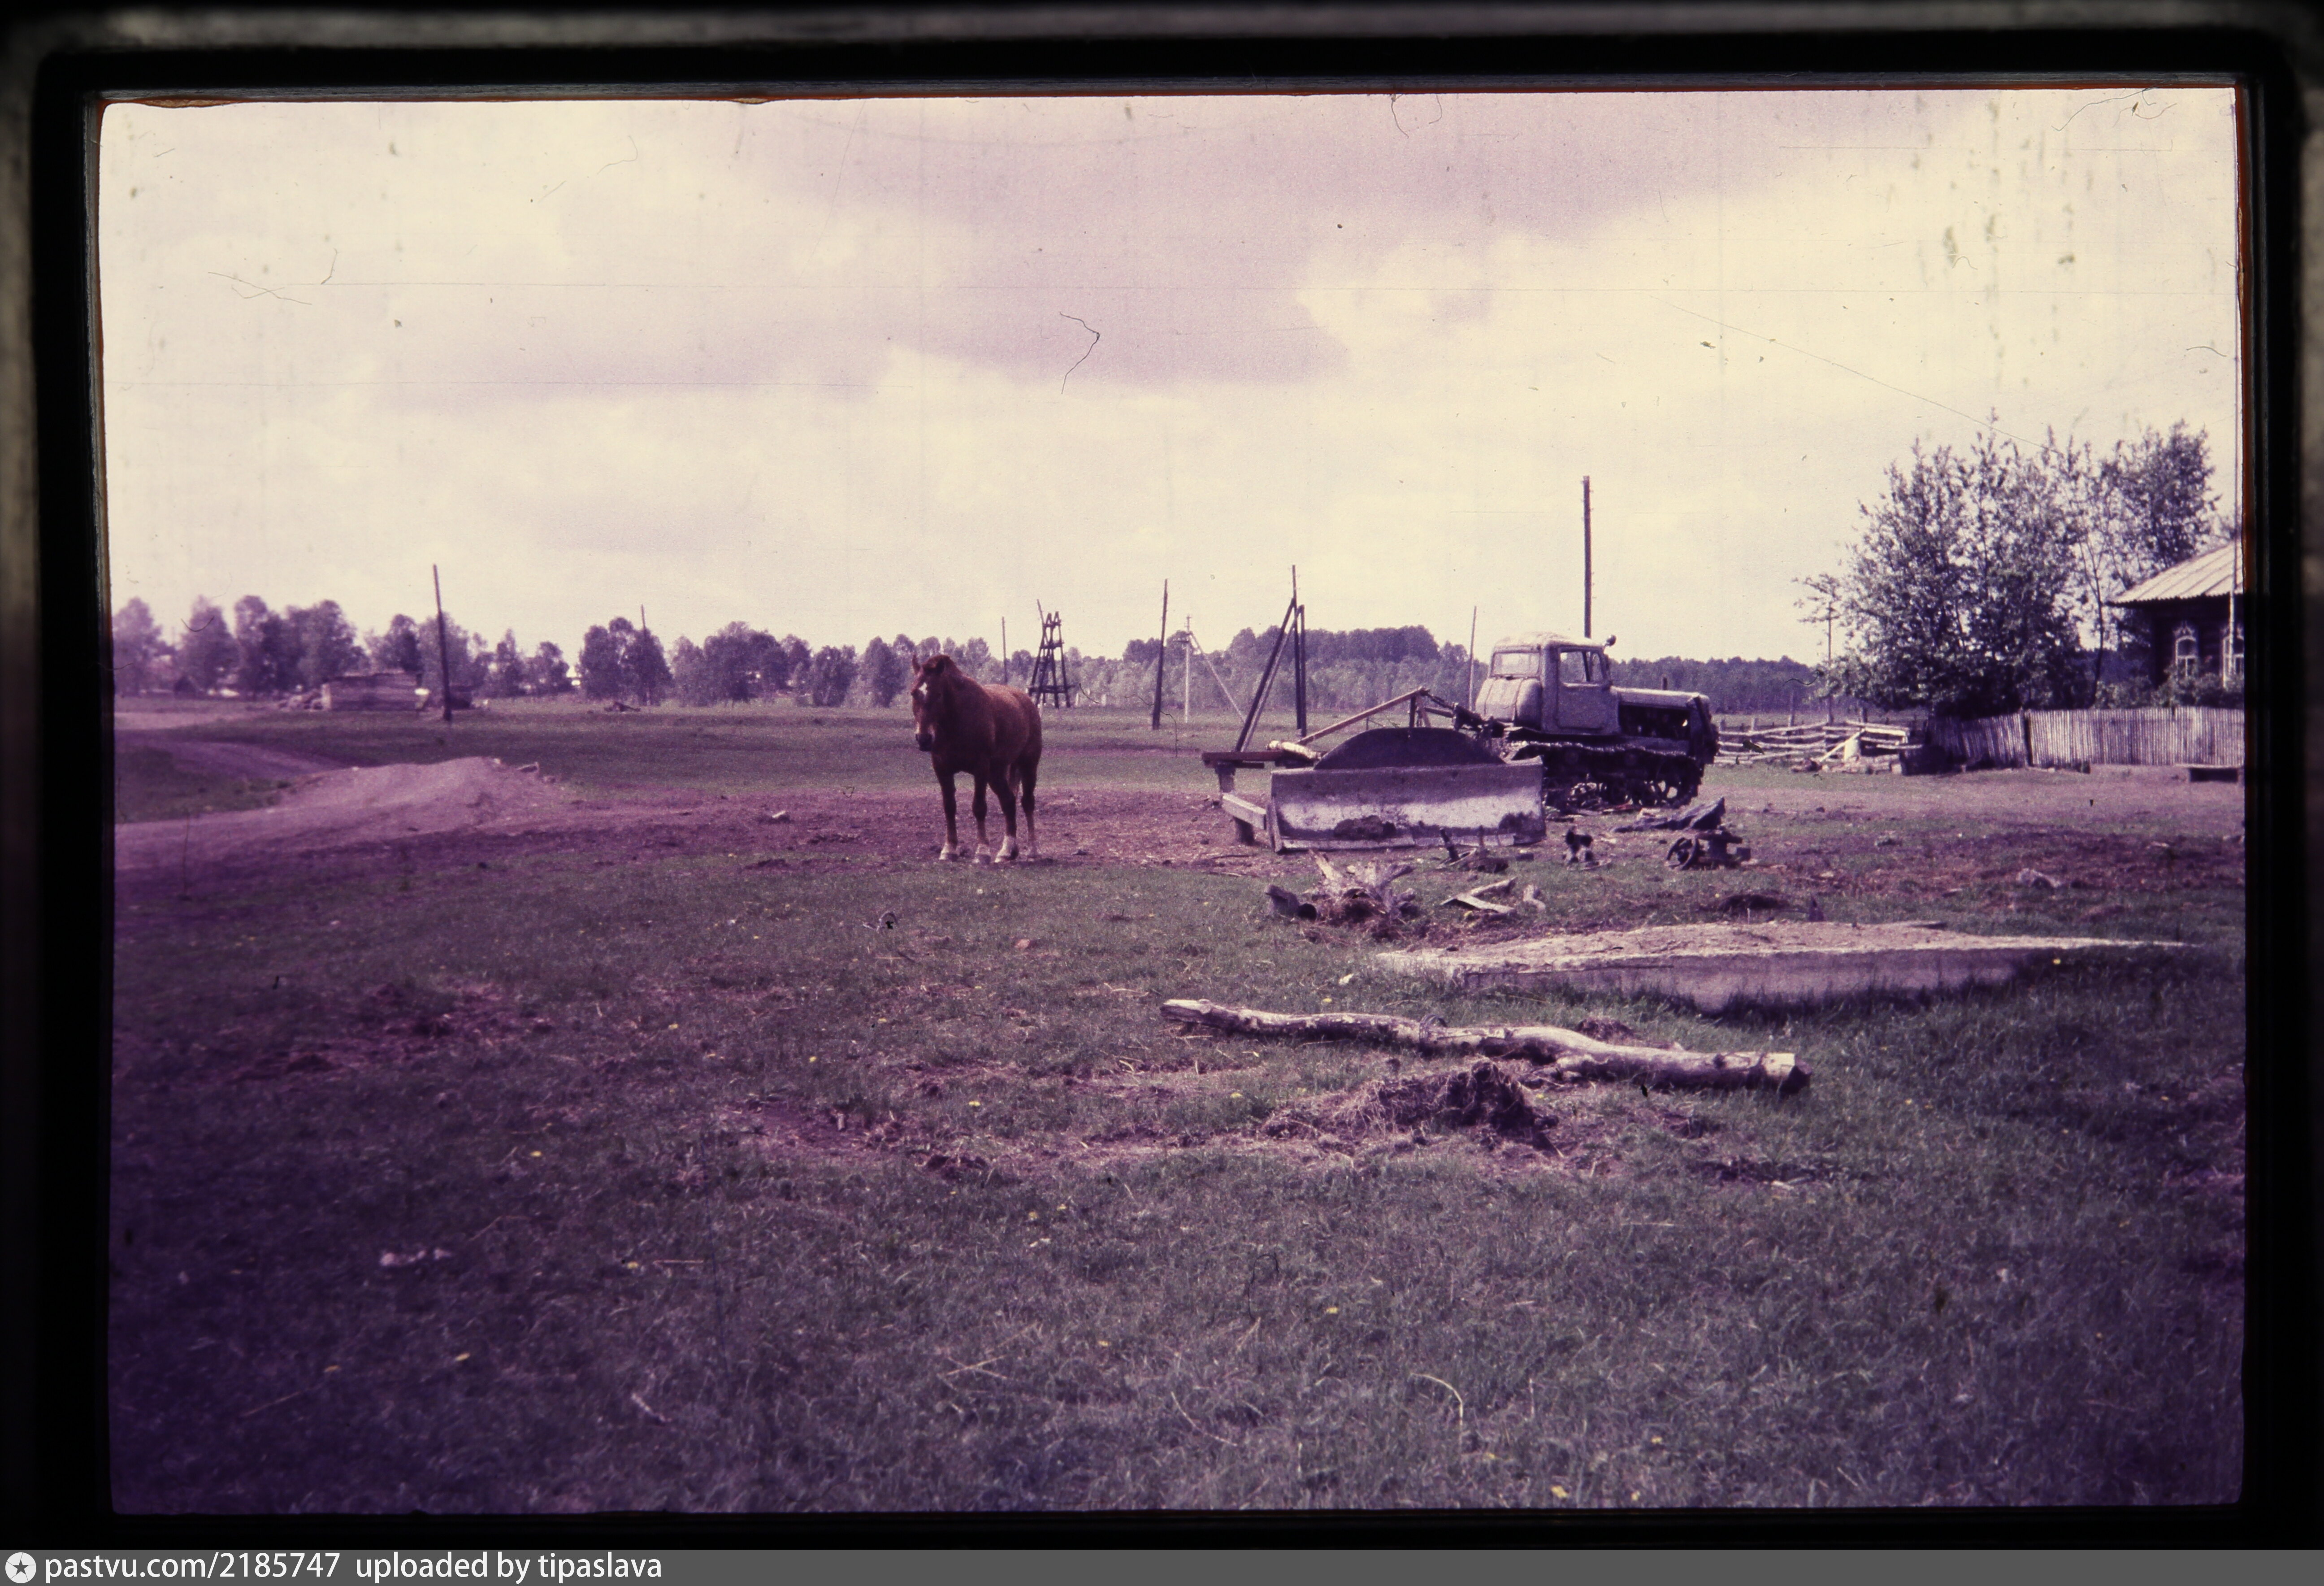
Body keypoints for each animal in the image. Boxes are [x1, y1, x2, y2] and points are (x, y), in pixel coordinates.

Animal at [908, 653, 1043, 862]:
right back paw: (1007, 851)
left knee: (1027, 803)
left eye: (938, 695)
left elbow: (979, 807)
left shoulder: (980, 768)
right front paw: (949, 850)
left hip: (1028, 765)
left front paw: (982, 852)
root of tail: (1027, 701)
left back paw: (1033, 850)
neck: (956, 721)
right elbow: (949, 807)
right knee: (1009, 801)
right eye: (914, 693)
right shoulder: (942, 768)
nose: (924, 739)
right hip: (996, 773)